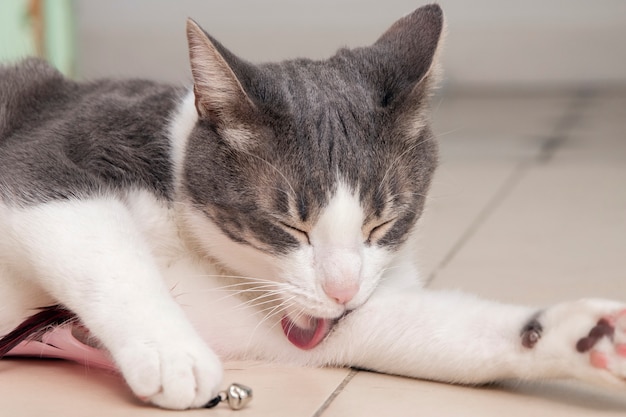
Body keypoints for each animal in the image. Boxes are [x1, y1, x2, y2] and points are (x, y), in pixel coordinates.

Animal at [1, 4, 624, 410]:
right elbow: (101, 248)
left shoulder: (297, 326)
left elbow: (415, 327)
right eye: (288, 225)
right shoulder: (48, 153)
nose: (342, 291)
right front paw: (173, 354)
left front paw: (583, 337)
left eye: (383, 222)